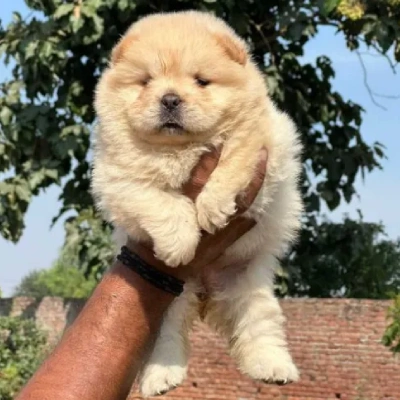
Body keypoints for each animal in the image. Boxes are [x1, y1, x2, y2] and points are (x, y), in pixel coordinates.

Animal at [91, 9, 304, 396]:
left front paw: (213, 208)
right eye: (145, 82)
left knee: (261, 325)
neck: (180, 149)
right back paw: (161, 379)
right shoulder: (117, 179)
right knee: (166, 337)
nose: (170, 98)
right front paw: (180, 244)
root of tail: (205, 292)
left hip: (247, 283)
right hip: (165, 302)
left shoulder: (265, 146)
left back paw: (273, 368)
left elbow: (233, 157)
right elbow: (159, 200)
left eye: (202, 81)